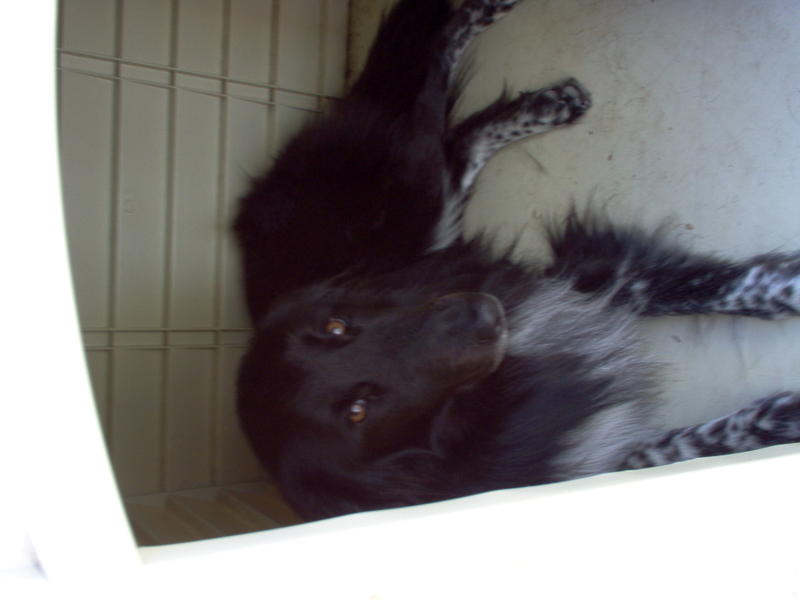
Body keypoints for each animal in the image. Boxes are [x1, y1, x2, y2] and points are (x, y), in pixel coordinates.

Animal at [234, 0, 800, 521]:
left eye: (337, 326)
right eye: (358, 411)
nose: (482, 314)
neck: (499, 387)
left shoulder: (570, 276)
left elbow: (723, 287)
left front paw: (788, 292)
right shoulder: (578, 455)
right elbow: (680, 447)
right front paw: (780, 419)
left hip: (422, 194)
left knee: (438, 92)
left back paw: (522, 67)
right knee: (451, 129)